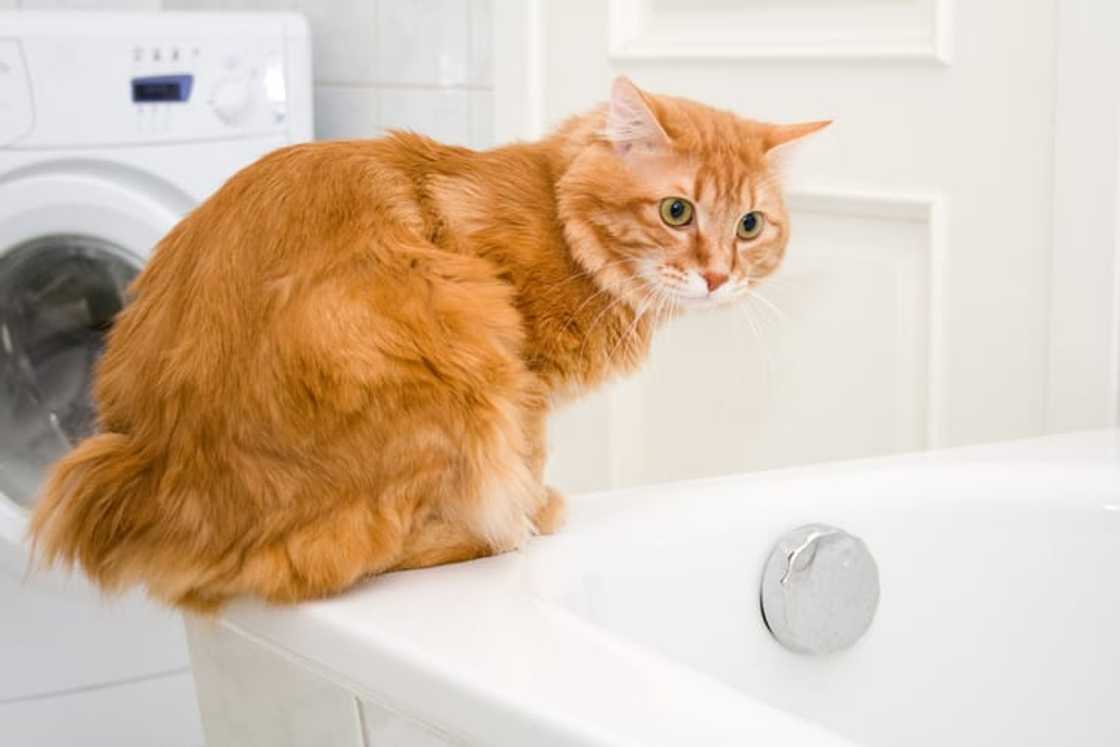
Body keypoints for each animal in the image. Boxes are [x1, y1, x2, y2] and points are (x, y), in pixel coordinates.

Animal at [28, 77, 833, 613]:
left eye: (750, 226)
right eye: (676, 211)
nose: (718, 275)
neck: (560, 220)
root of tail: (144, 458)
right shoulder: (519, 374)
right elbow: (527, 457)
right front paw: (532, 509)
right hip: (449, 345)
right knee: (324, 564)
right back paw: (488, 531)